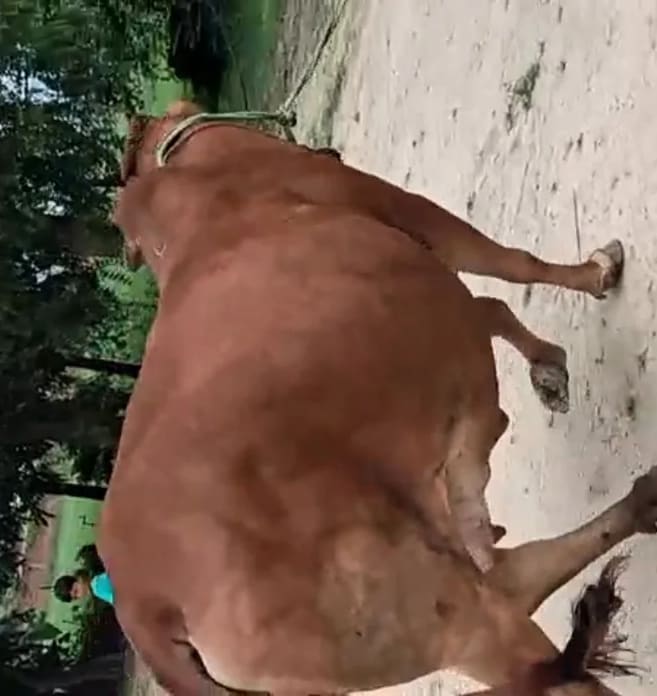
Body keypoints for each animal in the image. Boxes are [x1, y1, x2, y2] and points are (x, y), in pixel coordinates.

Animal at [101, 99, 656, 696]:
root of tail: (147, 610)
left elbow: (492, 308)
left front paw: (546, 369)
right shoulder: (414, 217)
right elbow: (512, 265)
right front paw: (596, 277)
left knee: (519, 577)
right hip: (432, 605)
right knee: (542, 646)